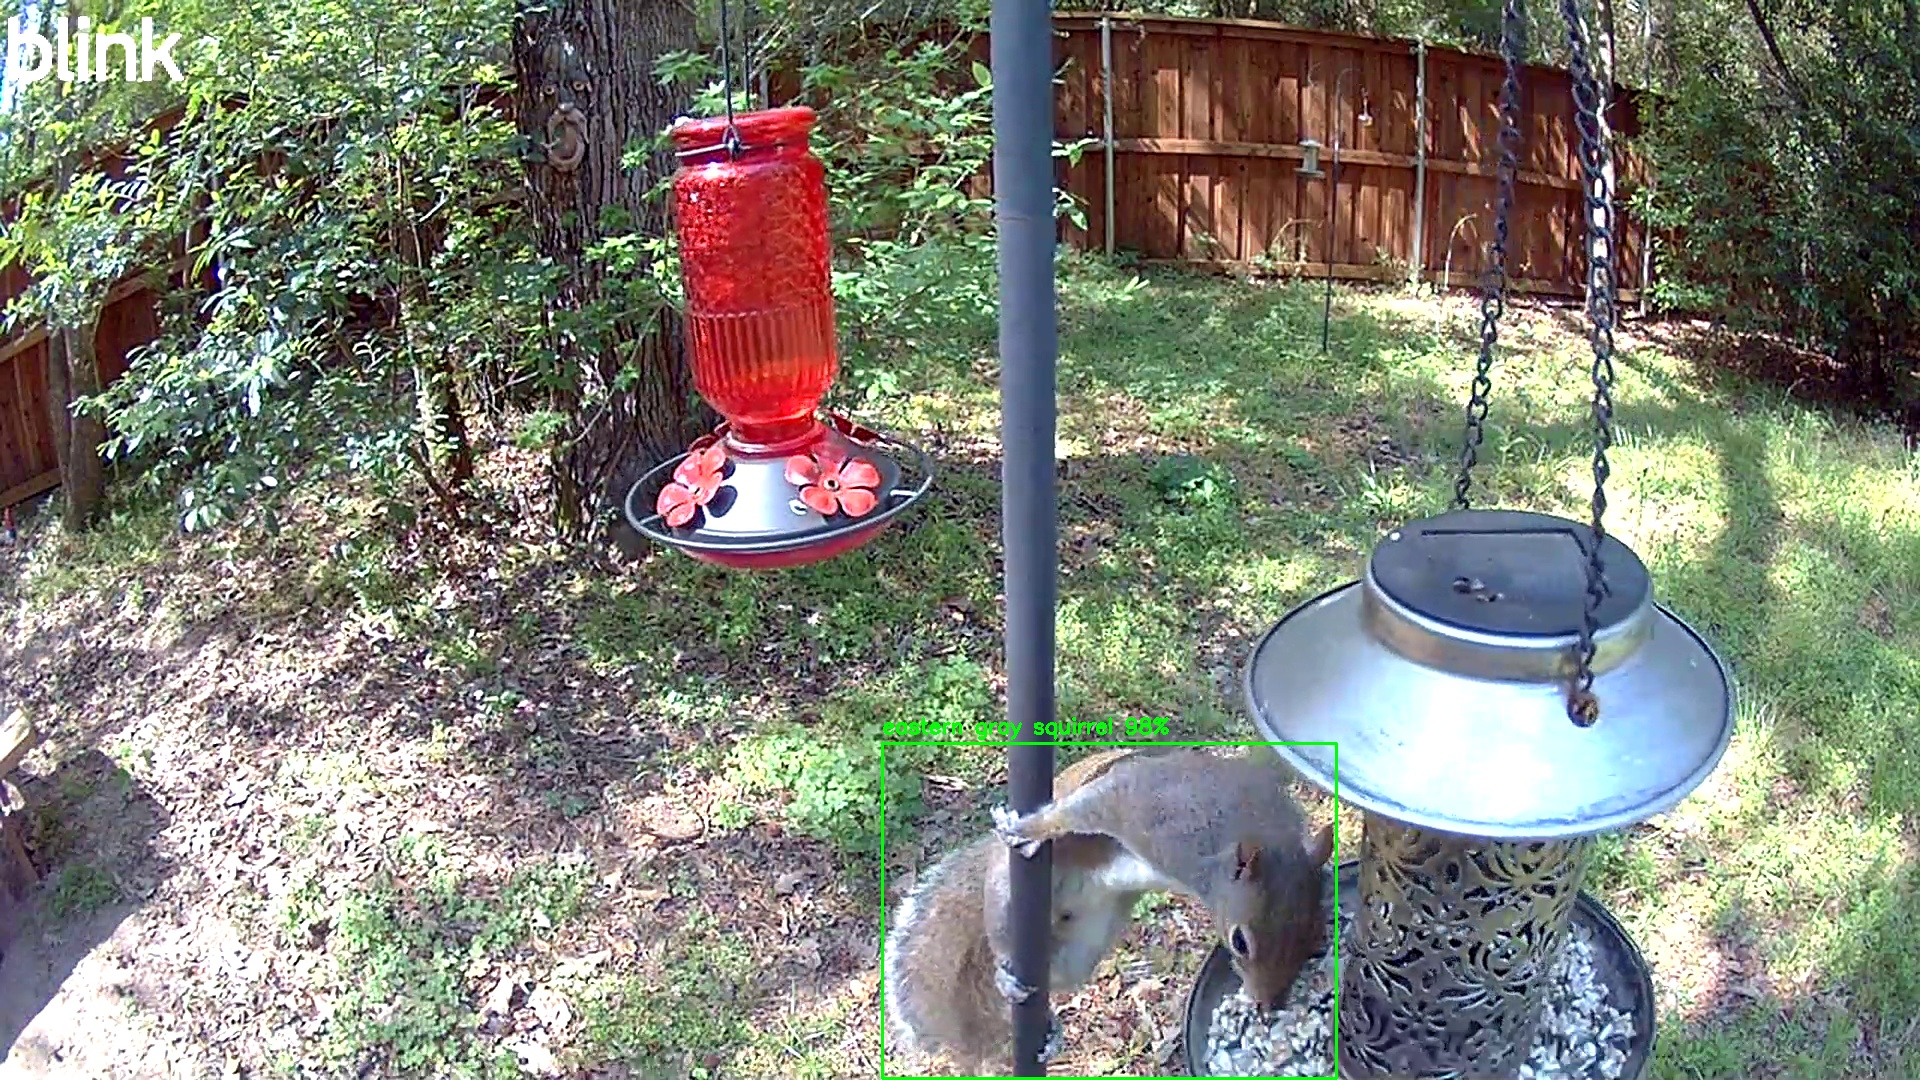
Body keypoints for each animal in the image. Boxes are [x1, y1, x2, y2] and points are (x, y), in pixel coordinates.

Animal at [991, 746, 1336, 1010]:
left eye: (1316, 936)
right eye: (1240, 943)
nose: (1268, 1006)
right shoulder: (1152, 817)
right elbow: (1088, 808)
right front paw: (1029, 829)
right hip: (1008, 901)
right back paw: (1007, 976)